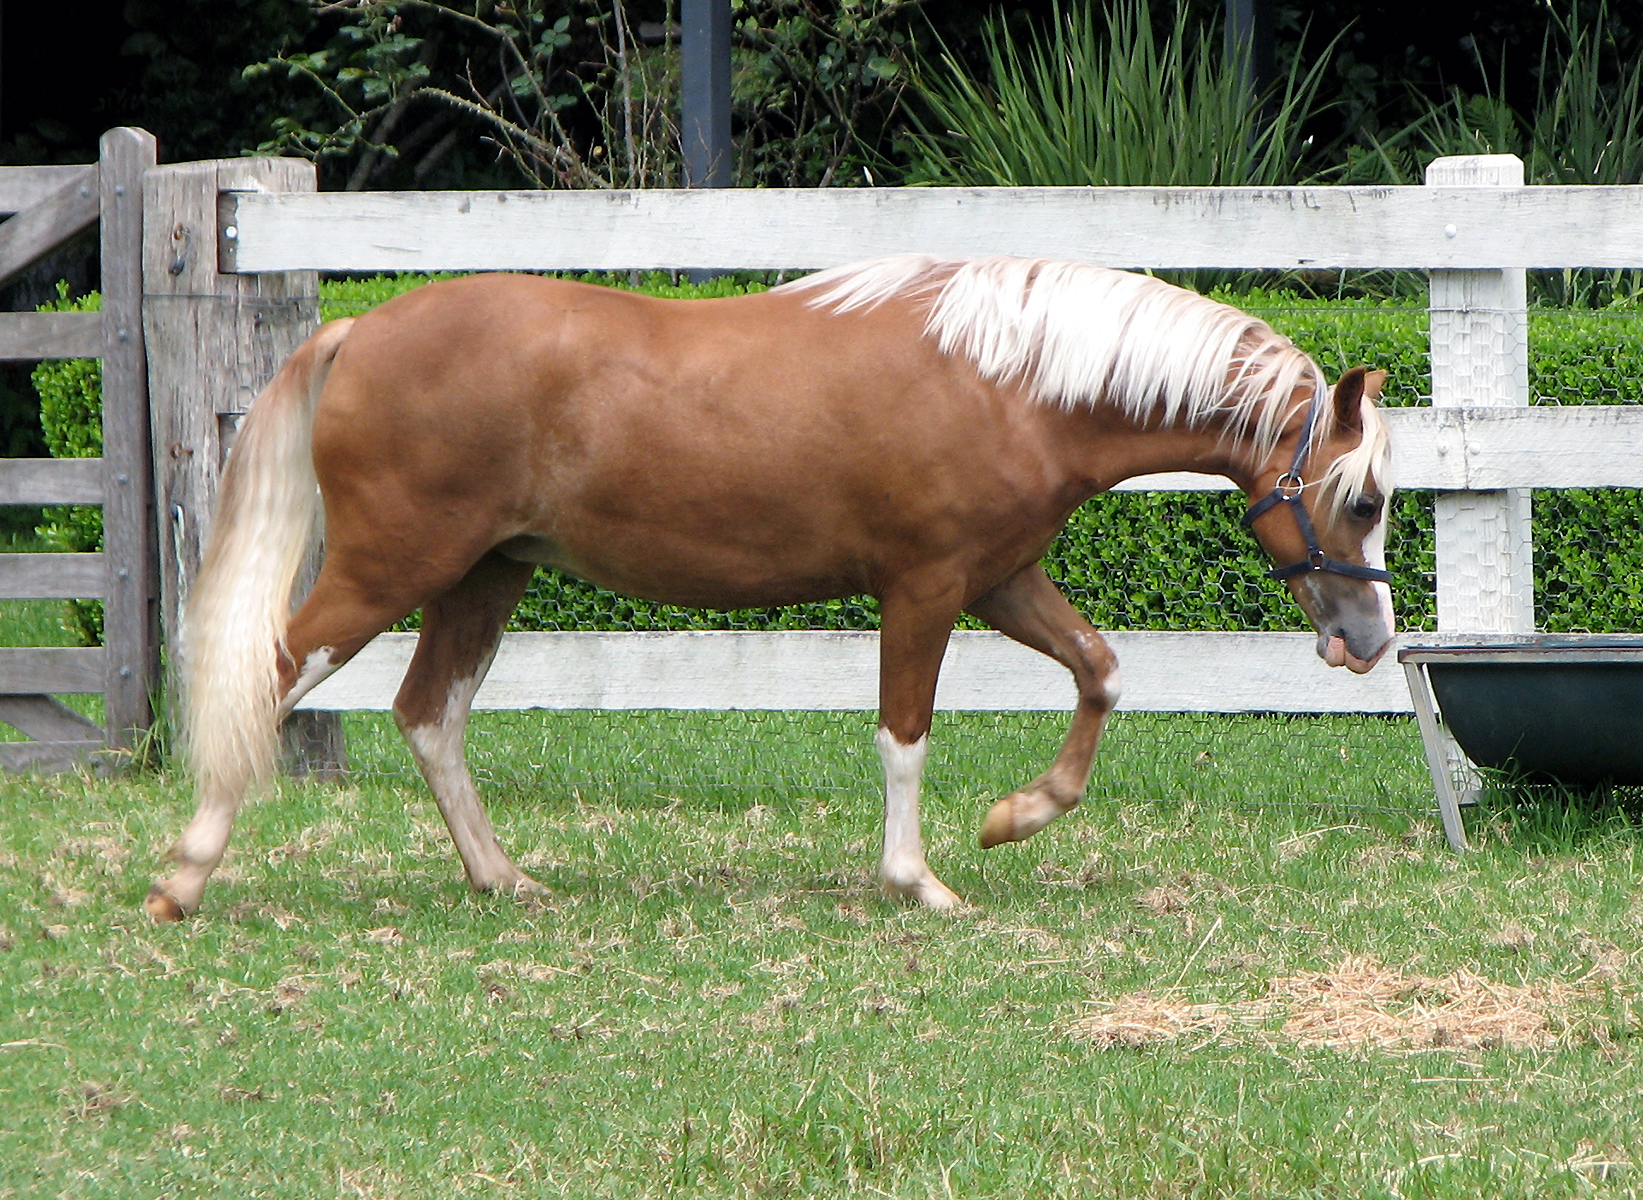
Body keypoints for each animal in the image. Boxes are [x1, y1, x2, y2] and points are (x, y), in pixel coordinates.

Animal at [145, 255, 1394, 921]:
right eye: (1365, 498)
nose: (1370, 640)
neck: (1007, 379)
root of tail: (359, 330)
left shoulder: (999, 579)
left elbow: (1099, 669)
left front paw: (1015, 817)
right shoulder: (925, 588)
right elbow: (903, 733)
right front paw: (917, 879)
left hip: (481, 578)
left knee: (428, 715)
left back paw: (503, 878)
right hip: (389, 569)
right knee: (268, 673)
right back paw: (184, 879)